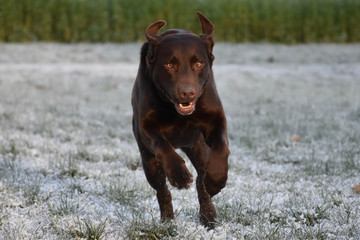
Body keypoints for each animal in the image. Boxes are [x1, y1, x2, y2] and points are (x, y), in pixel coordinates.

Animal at [131, 11, 229, 229]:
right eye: (169, 64)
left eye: (198, 64)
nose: (187, 93)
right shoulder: (145, 128)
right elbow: (163, 146)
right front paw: (179, 174)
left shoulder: (216, 120)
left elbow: (221, 146)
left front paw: (217, 179)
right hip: (148, 161)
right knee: (162, 189)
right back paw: (167, 219)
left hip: (199, 148)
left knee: (202, 180)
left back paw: (208, 215)